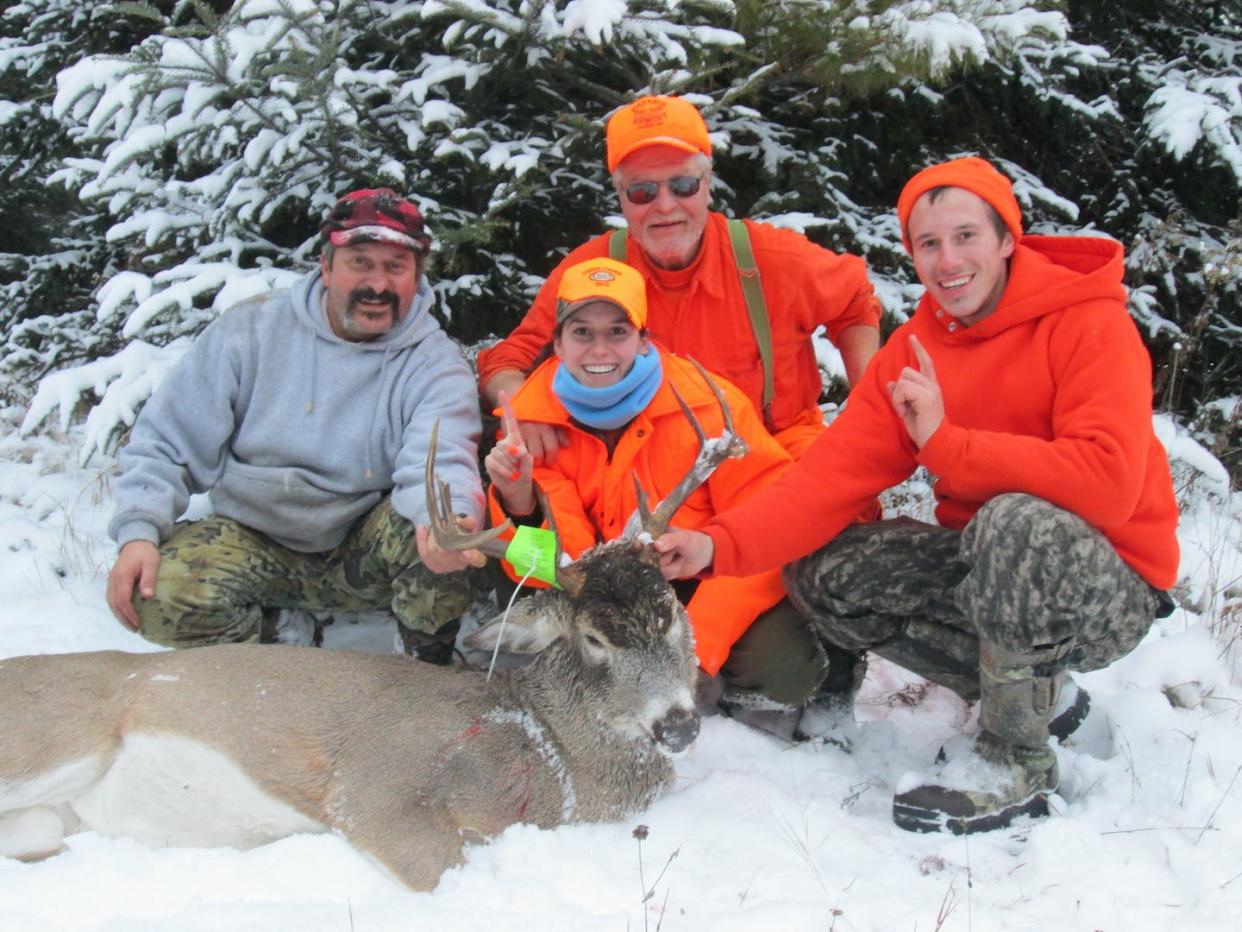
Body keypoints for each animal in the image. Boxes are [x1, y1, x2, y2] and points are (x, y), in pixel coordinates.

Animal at [0, 362, 745, 889]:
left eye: (671, 611)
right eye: (593, 638)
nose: (679, 725)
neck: (549, 756)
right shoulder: (374, 786)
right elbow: (445, 872)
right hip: (49, 735)